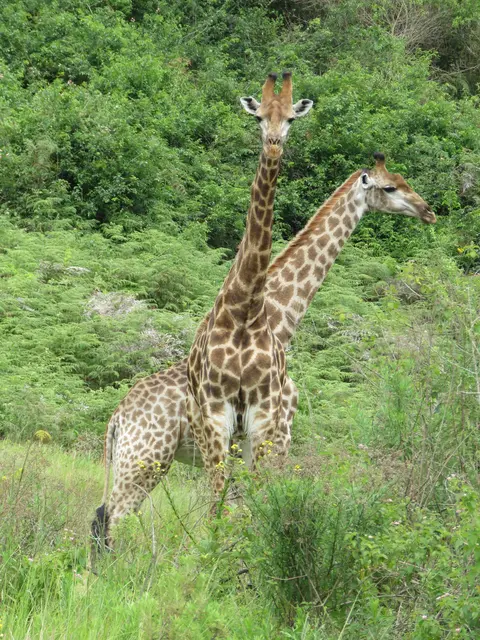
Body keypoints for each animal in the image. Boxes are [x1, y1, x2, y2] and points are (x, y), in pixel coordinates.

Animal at [91, 152, 435, 551]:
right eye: (390, 187)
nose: (428, 211)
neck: (281, 322)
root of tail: (117, 420)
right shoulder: (279, 434)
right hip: (147, 458)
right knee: (114, 520)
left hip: (134, 461)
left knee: (103, 517)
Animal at [186, 71, 313, 501]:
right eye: (258, 117)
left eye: (291, 118)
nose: (273, 145)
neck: (245, 308)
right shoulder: (215, 414)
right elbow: (217, 498)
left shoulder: (262, 417)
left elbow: (255, 497)